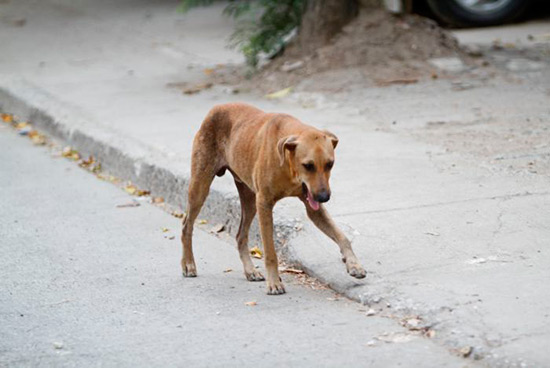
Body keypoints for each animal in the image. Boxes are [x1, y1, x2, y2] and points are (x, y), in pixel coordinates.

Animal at [183, 102, 368, 294]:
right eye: (308, 166)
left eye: (330, 164)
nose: (324, 197)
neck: (289, 164)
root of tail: (216, 108)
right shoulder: (264, 204)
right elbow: (270, 252)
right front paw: (274, 282)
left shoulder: (312, 206)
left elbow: (342, 236)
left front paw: (353, 264)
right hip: (200, 188)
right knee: (186, 225)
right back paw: (188, 264)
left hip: (249, 199)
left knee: (240, 235)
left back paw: (250, 270)